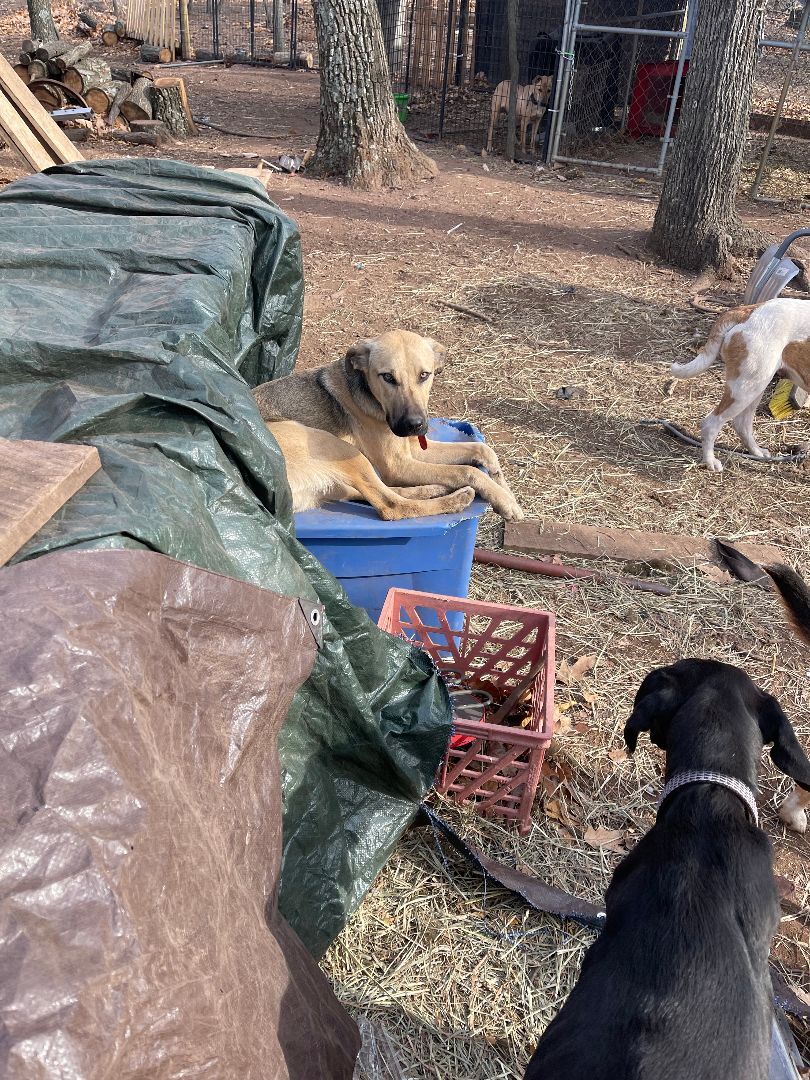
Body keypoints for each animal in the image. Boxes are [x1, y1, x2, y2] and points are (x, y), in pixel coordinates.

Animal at [673, 302, 810, 475]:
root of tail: (748, 310)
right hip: (745, 389)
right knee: (710, 424)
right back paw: (710, 461)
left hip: (754, 386)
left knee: (741, 424)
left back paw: (757, 452)